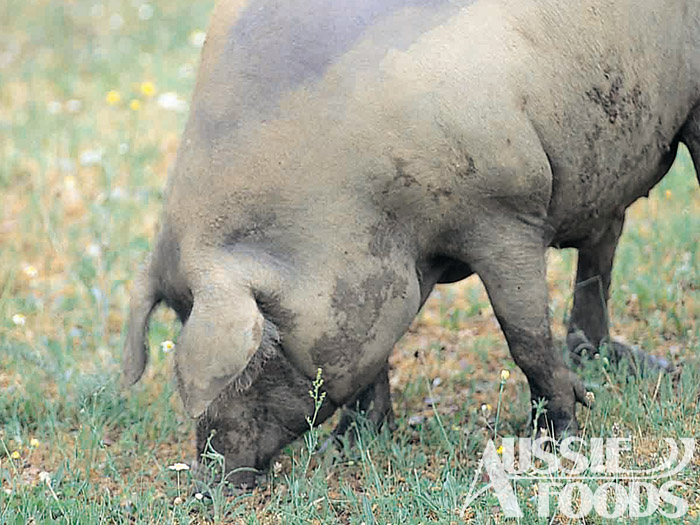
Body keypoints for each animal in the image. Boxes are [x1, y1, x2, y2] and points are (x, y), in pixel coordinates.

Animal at [123, 0, 696, 486]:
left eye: (257, 356)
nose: (209, 480)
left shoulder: (503, 212)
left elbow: (526, 339)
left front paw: (556, 441)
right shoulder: (375, 278)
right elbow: (372, 358)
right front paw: (345, 446)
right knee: (602, 249)